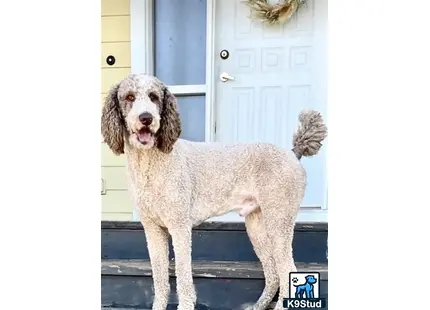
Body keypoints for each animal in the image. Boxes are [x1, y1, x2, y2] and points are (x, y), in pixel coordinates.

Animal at [101, 73, 330, 310]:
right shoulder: (153, 230)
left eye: (154, 97)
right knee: (273, 272)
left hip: (279, 220)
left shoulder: (180, 227)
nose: (146, 118)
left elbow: (183, 279)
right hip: (257, 227)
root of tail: (292, 153)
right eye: (129, 97)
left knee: (288, 271)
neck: (150, 163)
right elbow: (160, 280)